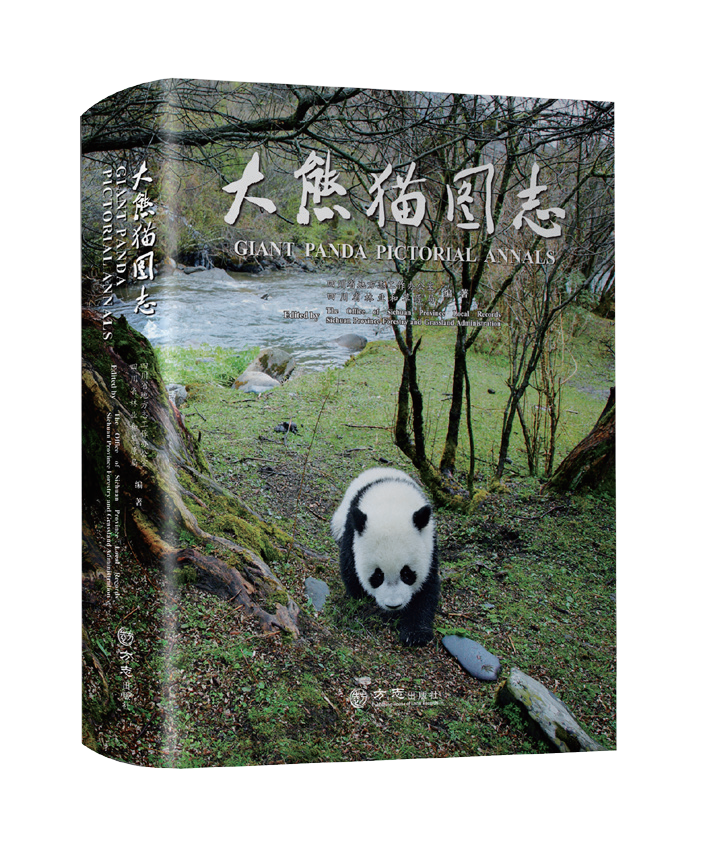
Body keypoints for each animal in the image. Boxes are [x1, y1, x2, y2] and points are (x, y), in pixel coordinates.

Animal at [331, 467, 439, 647]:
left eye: (407, 574)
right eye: (377, 575)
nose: (393, 605)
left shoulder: (429, 543)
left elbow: (427, 587)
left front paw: (415, 634)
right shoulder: (353, 530)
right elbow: (349, 566)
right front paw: (362, 599)